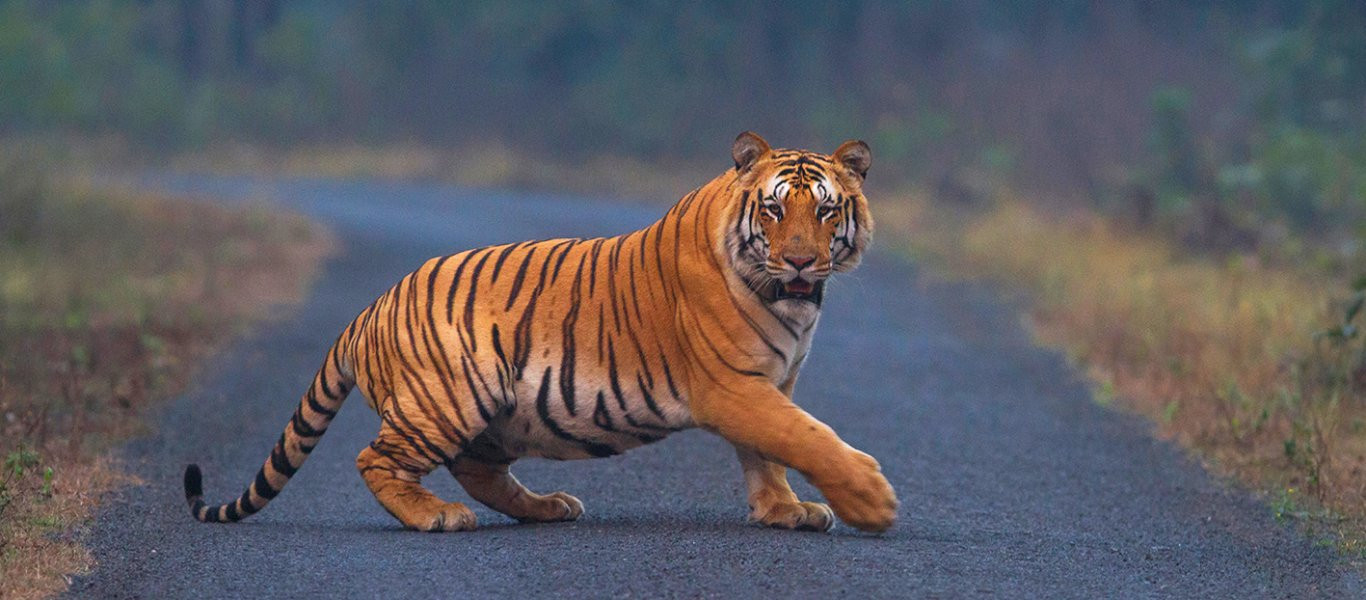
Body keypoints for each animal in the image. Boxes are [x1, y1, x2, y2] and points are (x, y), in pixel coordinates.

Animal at [187, 132, 901, 535]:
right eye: (775, 209)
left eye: (826, 211)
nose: (802, 261)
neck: (793, 303)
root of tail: (370, 308)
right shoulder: (733, 386)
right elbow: (805, 437)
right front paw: (872, 501)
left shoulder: (771, 381)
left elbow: (770, 453)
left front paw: (783, 511)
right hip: (449, 396)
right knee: (378, 460)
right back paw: (436, 517)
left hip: (494, 414)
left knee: (477, 469)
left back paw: (549, 507)